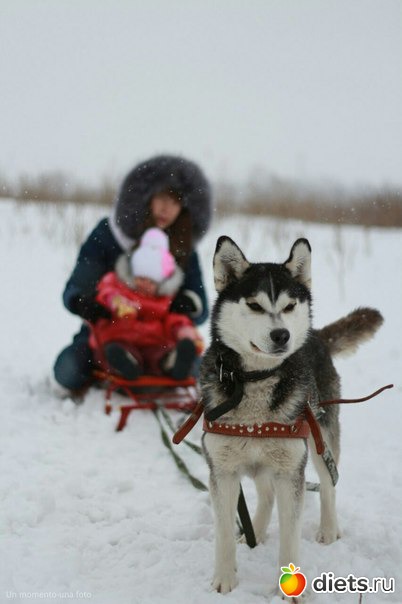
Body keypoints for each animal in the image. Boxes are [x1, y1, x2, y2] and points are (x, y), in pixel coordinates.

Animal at [199, 236, 383, 598]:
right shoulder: (223, 471)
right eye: (254, 305)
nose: (281, 335)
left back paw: (328, 528)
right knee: (266, 493)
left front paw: (289, 592)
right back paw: (255, 531)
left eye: (288, 306)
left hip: (319, 439)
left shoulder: (290, 472)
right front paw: (224, 580)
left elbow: (290, 535)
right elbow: (223, 532)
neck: (255, 382)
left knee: (328, 484)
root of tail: (317, 335)